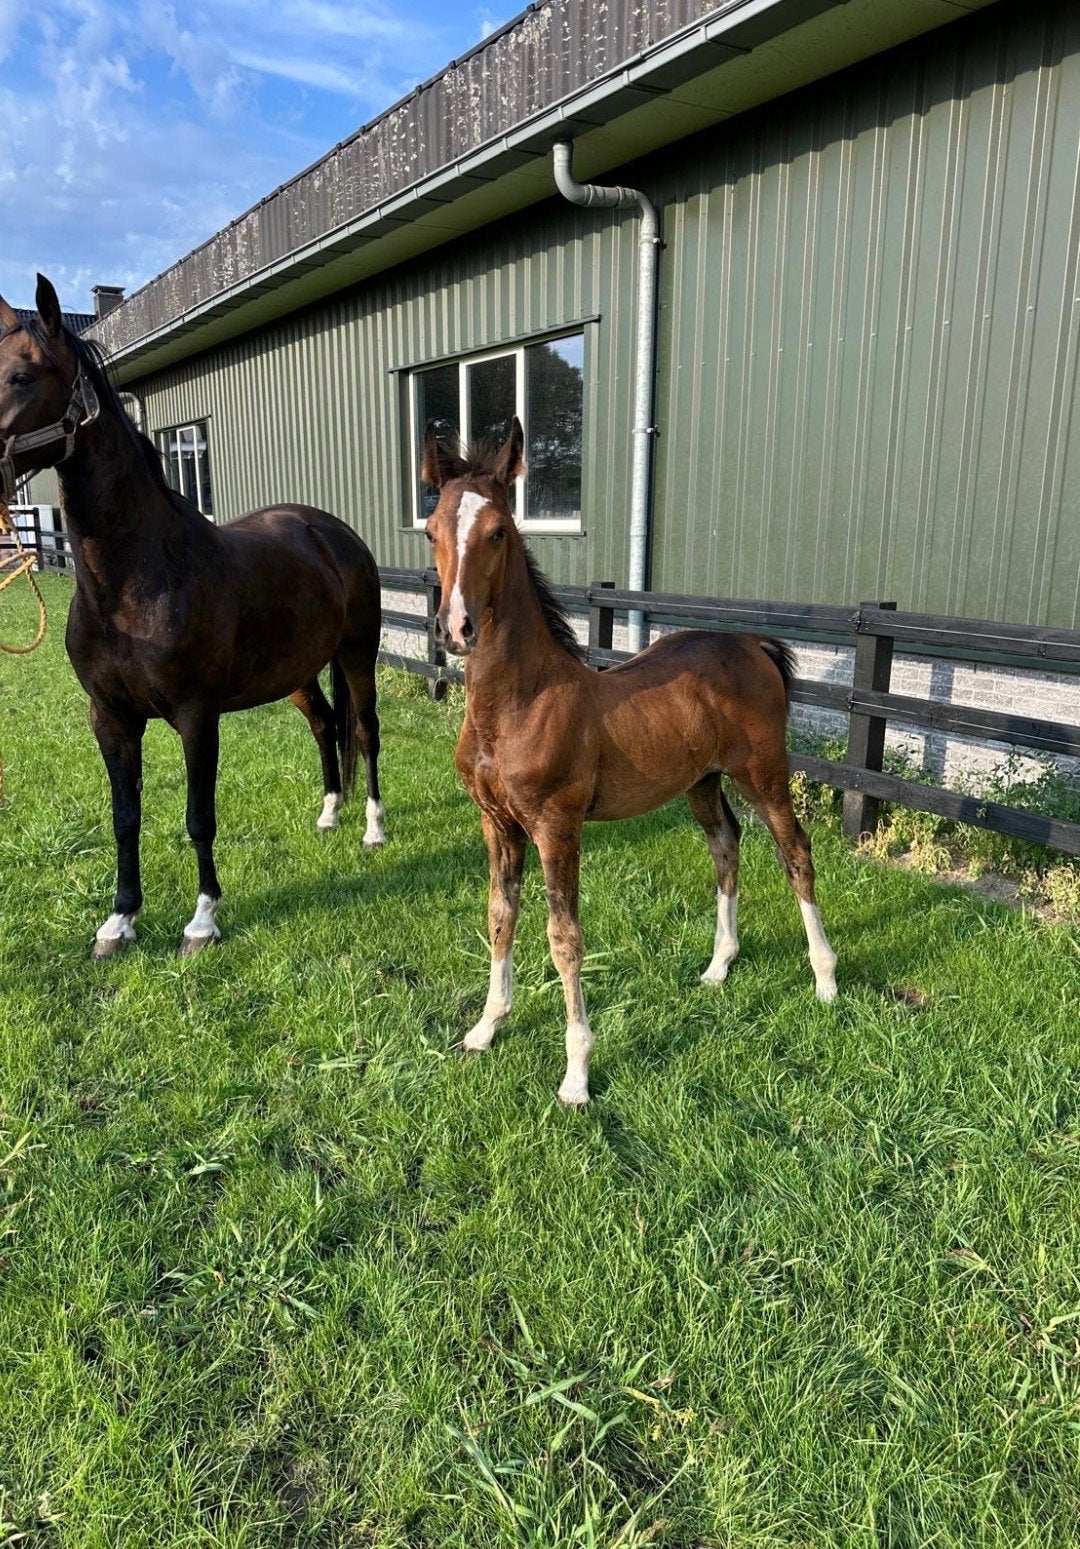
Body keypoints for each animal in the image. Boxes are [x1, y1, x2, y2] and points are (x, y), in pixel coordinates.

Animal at [0, 275, 385, 957]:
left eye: (22, 376)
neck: (130, 583)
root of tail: (331, 531)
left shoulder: (196, 716)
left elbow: (198, 817)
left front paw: (203, 919)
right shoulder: (110, 718)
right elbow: (125, 818)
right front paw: (120, 920)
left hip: (357, 654)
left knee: (364, 730)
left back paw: (372, 828)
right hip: (298, 673)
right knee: (325, 726)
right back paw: (328, 813)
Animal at [422, 418, 837, 1106]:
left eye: (499, 531)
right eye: (431, 529)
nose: (455, 629)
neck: (515, 703)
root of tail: (751, 643)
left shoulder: (557, 827)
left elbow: (564, 939)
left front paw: (577, 1076)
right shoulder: (497, 823)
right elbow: (500, 916)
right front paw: (486, 1028)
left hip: (764, 774)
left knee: (795, 853)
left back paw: (826, 978)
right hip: (702, 782)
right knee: (726, 846)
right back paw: (719, 965)